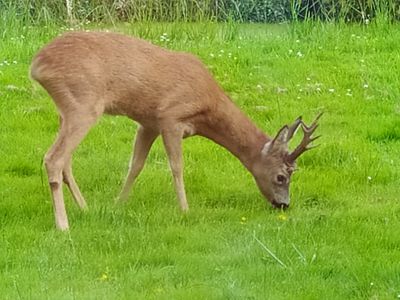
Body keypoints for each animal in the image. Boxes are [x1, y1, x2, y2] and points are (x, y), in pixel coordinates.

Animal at [29, 31, 320, 231]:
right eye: (282, 176)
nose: (284, 204)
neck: (207, 106)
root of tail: (36, 65)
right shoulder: (171, 118)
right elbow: (177, 166)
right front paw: (185, 210)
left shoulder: (148, 123)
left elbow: (136, 165)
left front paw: (118, 203)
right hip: (83, 104)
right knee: (53, 158)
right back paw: (63, 225)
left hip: (66, 110)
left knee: (65, 161)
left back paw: (85, 208)